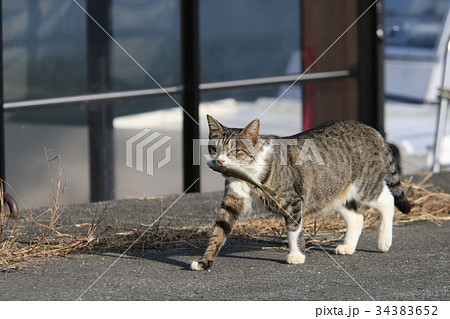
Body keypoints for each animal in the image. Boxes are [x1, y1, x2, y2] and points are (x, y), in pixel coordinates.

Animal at [190, 116, 412, 272]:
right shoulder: (232, 202)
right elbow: (219, 232)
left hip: (365, 186)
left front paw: (296, 256)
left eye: (236, 151)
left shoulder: (293, 201)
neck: (250, 173)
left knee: (387, 200)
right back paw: (348, 246)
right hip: (334, 191)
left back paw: (384, 241)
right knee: (357, 217)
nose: (220, 161)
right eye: (214, 148)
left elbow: (294, 230)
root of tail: (371, 129)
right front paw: (204, 262)